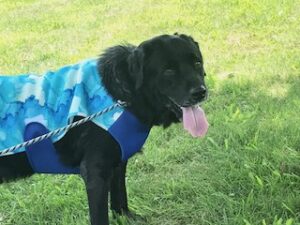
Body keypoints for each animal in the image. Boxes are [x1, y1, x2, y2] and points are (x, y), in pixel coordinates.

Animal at [0, 33, 206, 225]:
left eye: (197, 62)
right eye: (168, 70)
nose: (200, 92)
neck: (123, 94)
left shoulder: (118, 163)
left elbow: (119, 198)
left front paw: (125, 217)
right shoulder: (95, 174)